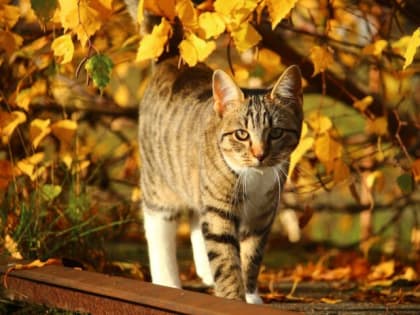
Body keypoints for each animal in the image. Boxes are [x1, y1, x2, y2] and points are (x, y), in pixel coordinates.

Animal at [139, 58, 304, 304]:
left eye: (276, 133)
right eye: (241, 134)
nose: (260, 154)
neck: (254, 177)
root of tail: (172, 61)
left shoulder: (262, 215)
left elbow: (251, 256)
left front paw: (251, 296)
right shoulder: (219, 207)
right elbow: (226, 259)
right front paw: (233, 298)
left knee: (197, 217)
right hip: (159, 181)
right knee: (158, 226)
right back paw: (167, 282)